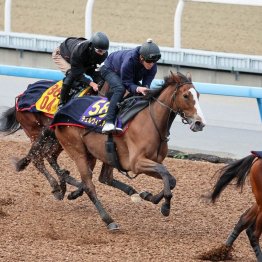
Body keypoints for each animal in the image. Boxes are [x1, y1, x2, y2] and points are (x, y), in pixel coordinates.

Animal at [52, 71, 206, 229]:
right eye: (186, 96)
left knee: (101, 178)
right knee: (89, 185)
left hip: (97, 154)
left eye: (198, 95)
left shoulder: (150, 162)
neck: (151, 122)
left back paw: (71, 190)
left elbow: (171, 179)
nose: (199, 123)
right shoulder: (137, 163)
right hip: (78, 151)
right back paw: (109, 220)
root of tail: (62, 109)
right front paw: (165, 206)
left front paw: (149, 196)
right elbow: (163, 171)